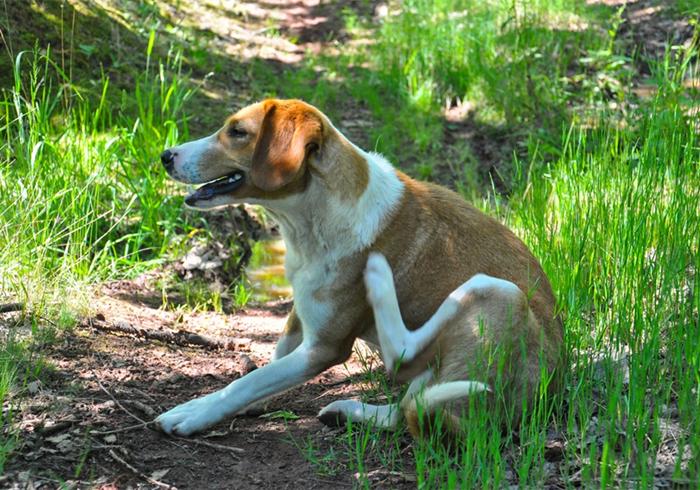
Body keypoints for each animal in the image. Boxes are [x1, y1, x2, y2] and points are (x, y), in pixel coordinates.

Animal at [159, 98, 564, 436]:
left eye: (237, 132)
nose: (165, 155)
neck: (310, 222)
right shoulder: (300, 315)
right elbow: (271, 363)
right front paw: (249, 403)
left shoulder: (324, 348)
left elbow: (243, 383)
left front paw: (196, 413)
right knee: (402, 412)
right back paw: (349, 412)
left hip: (497, 290)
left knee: (402, 357)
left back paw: (378, 276)